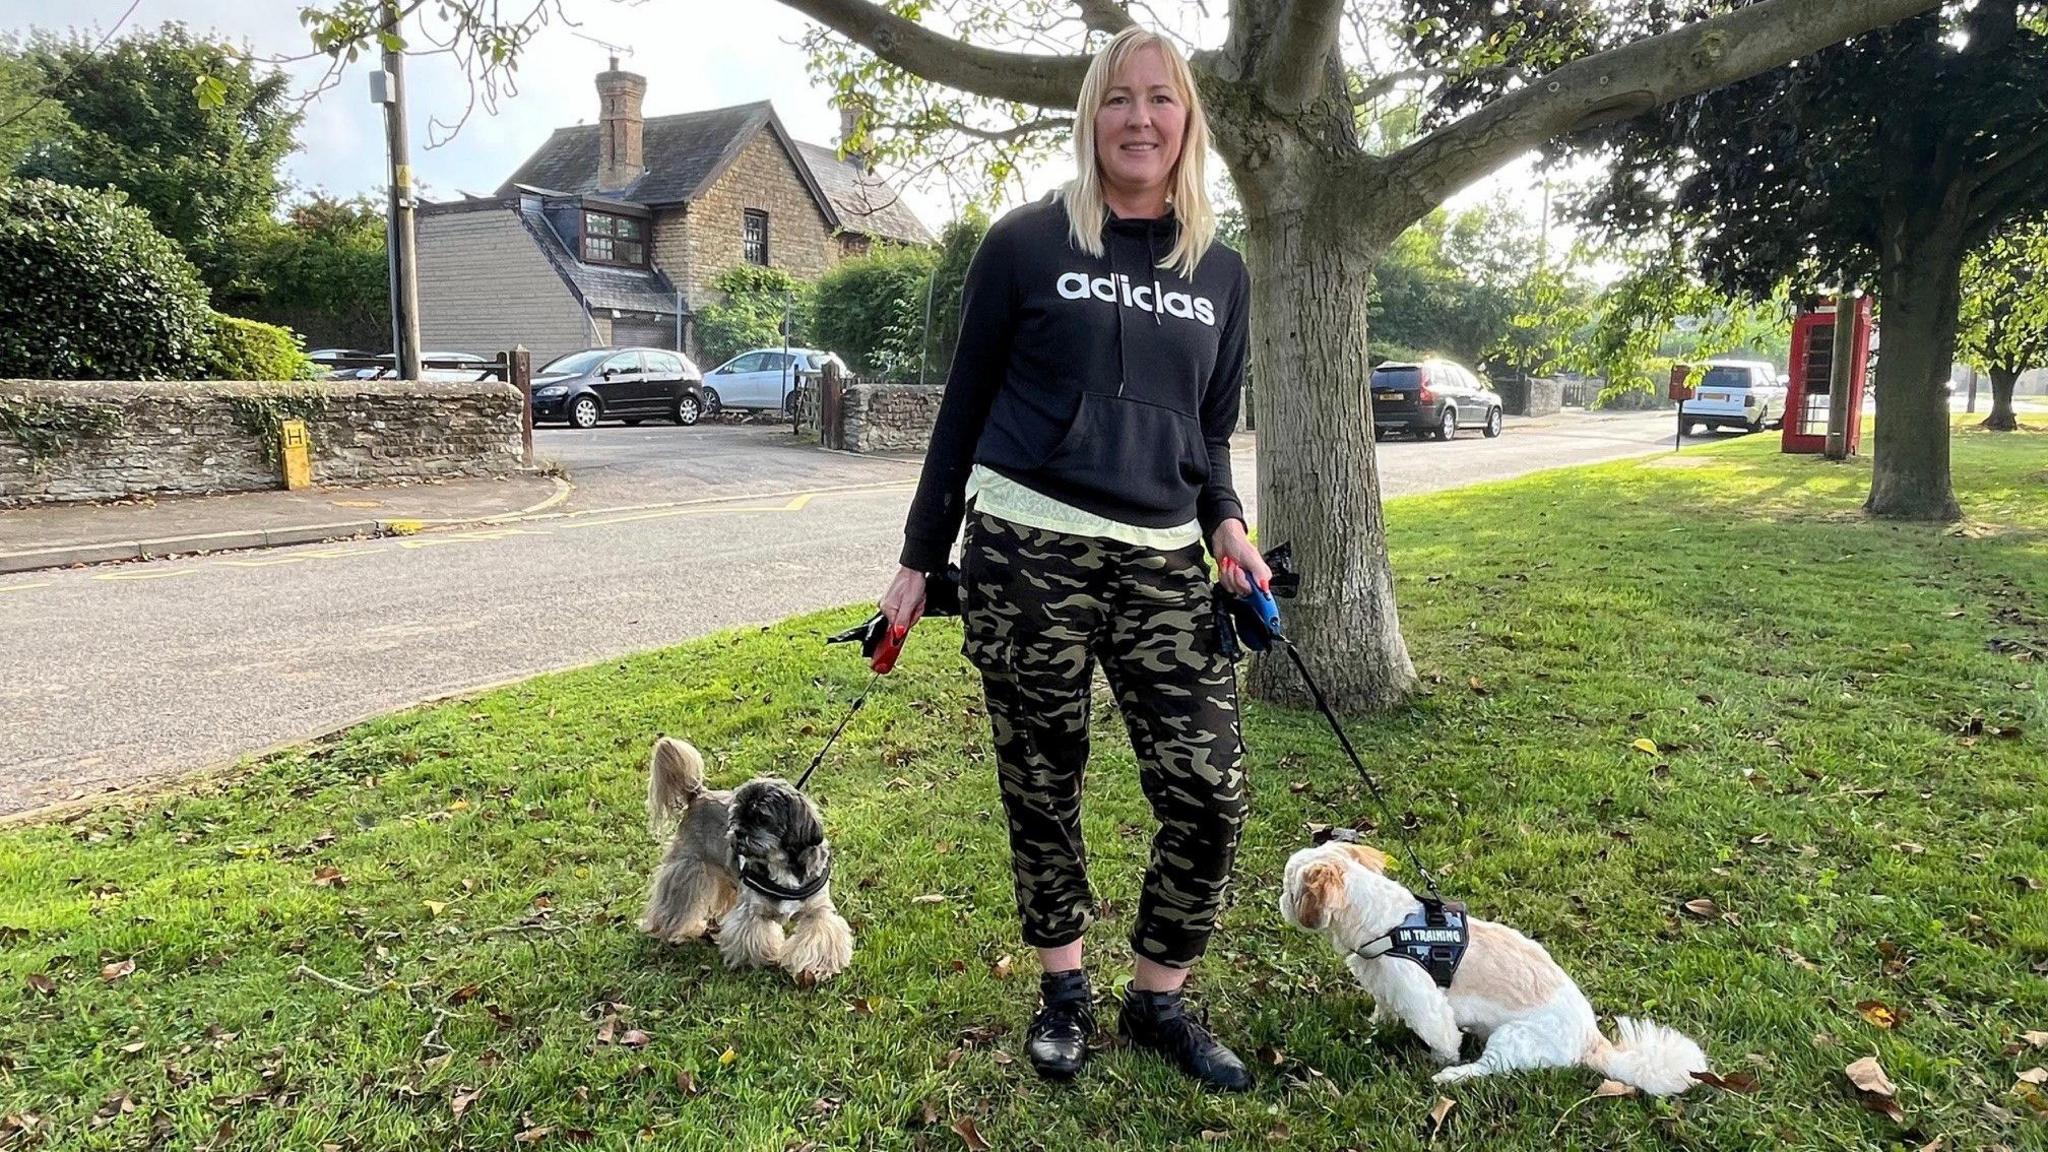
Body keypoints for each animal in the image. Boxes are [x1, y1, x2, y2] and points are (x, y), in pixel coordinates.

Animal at [647, 733, 856, 975]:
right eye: (735, 816)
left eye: (761, 817)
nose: (738, 832)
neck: (779, 864)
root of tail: (698, 793)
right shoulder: (752, 910)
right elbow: (752, 934)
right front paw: (762, 959)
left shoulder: (818, 911)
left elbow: (820, 934)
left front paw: (815, 968)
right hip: (687, 867)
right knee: (676, 900)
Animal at [1286, 828, 1703, 1090]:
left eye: (1289, 890)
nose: (1279, 900)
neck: (1390, 924)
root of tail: (1592, 1042)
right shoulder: (1386, 983)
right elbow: (1383, 1009)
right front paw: (1375, 1026)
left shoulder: (1423, 998)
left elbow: (1443, 1039)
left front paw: (1439, 1062)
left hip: (1514, 1039)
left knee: (1488, 1069)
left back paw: (1452, 1078)